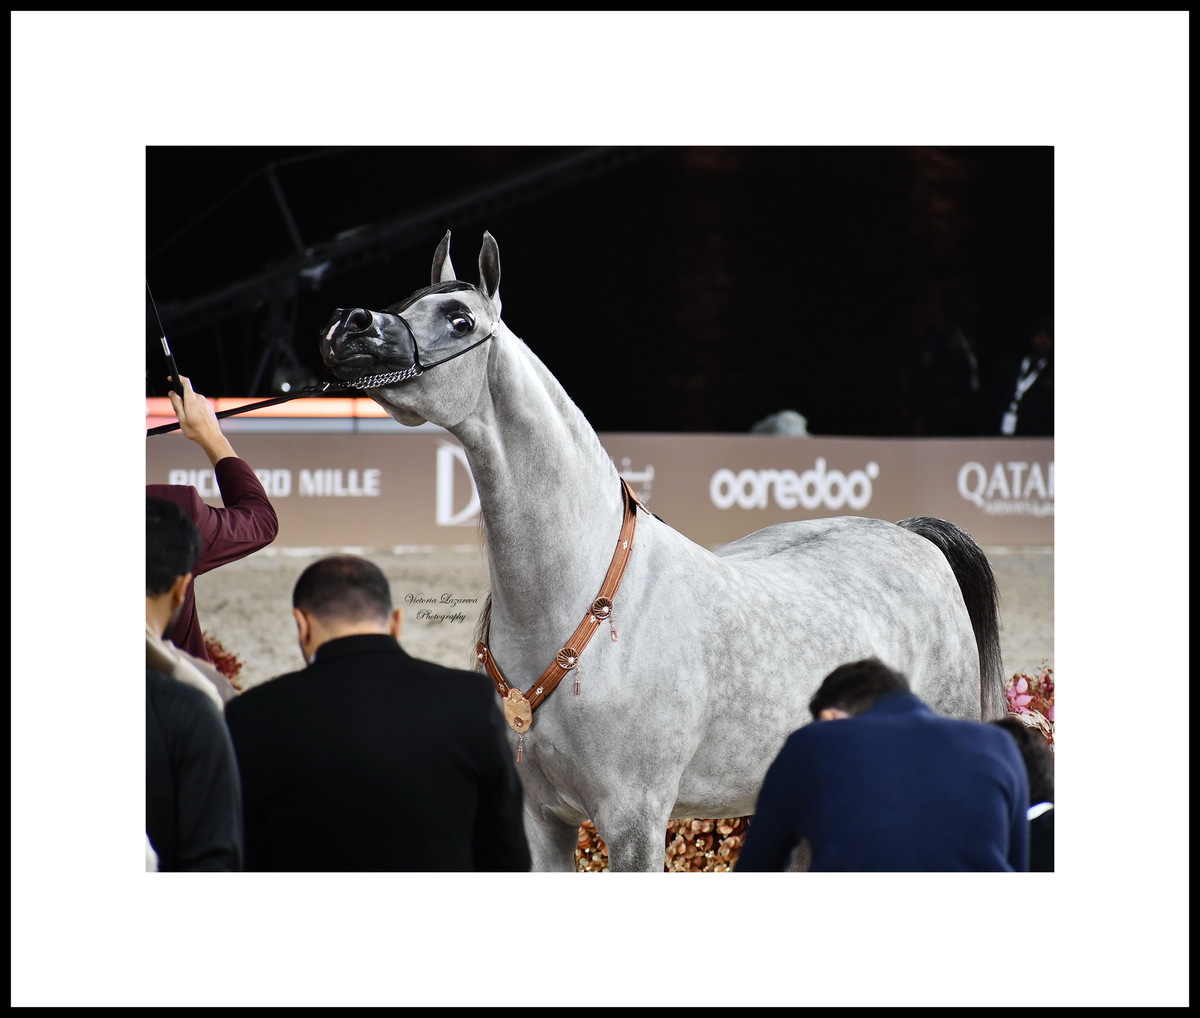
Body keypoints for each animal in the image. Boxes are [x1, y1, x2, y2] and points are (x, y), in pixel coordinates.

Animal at [318, 230, 1007, 873]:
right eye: (406, 300)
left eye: (460, 318)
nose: (351, 325)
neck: (583, 605)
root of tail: (911, 535)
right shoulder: (540, 820)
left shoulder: (633, 822)